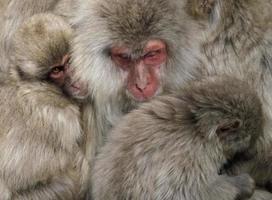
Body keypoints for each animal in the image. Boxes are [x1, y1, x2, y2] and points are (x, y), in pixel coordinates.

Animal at [91, 75, 264, 200]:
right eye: (250, 138)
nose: (253, 152)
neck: (196, 126)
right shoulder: (191, 154)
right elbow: (186, 192)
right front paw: (241, 184)